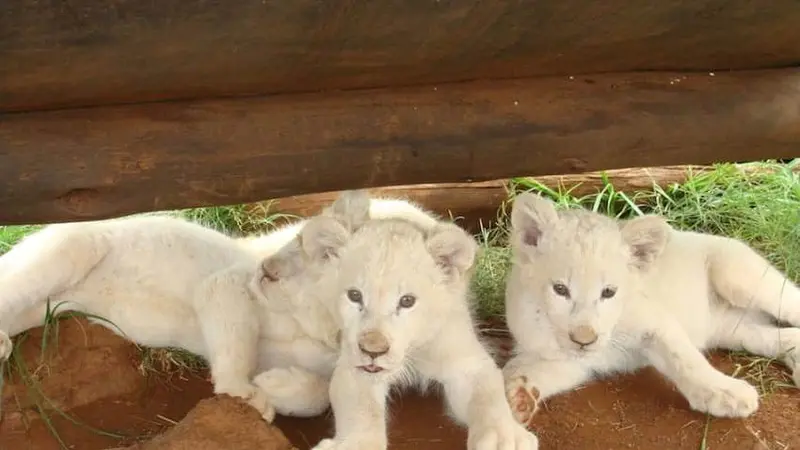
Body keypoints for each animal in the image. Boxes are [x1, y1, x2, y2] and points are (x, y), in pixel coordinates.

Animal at [0, 193, 438, 422]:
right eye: (300, 241)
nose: (267, 270)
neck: (319, 327)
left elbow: (320, 394)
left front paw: (274, 388)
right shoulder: (225, 286)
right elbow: (236, 348)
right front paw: (245, 394)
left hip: (47, 304)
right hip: (71, 249)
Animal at [280, 193, 536, 450]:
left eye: (407, 301)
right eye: (354, 295)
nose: (373, 351)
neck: (412, 350)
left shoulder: (464, 358)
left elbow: (487, 393)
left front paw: (505, 437)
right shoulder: (355, 367)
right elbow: (364, 412)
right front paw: (356, 443)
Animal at [506, 192, 800, 428]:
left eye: (608, 292)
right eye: (560, 289)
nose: (584, 340)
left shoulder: (655, 322)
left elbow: (686, 360)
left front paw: (728, 394)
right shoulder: (569, 362)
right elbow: (519, 370)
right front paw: (518, 398)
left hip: (738, 277)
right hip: (734, 329)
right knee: (778, 336)